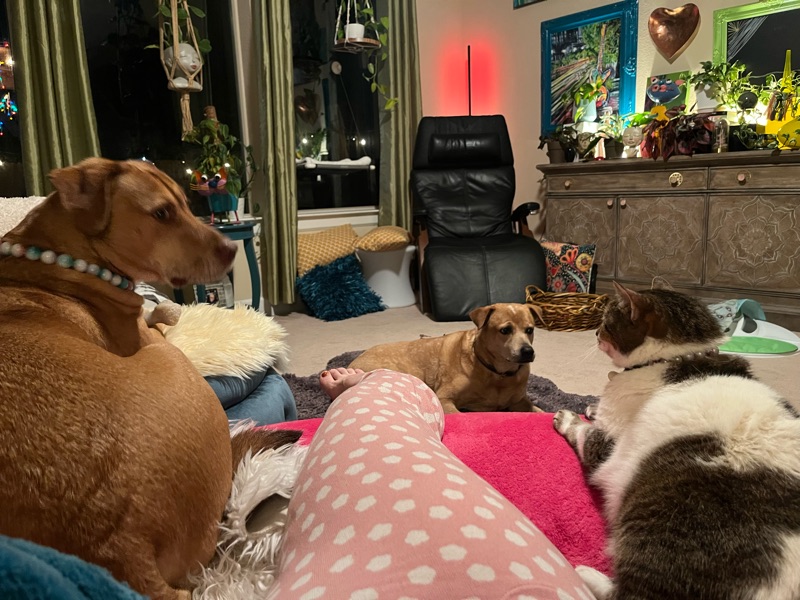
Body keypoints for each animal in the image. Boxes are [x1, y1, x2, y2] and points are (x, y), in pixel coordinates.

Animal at [0, 158, 299, 600]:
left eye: (187, 204)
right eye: (161, 213)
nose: (231, 251)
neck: (61, 255)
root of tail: (123, 547)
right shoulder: (147, 335)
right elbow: (157, 321)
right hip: (175, 365)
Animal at [349, 303, 540, 413]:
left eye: (530, 330)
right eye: (505, 330)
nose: (527, 351)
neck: (498, 375)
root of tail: (352, 362)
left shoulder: (519, 402)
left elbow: (539, 411)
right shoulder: (445, 398)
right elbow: (458, 415)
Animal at [554, 282, 800, 600]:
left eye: (607, 322)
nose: (595, 333)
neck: (675, 358)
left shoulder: (609, 447)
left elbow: (585, 433)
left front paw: (568, 417)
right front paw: (591, 407)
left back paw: (583, 574)